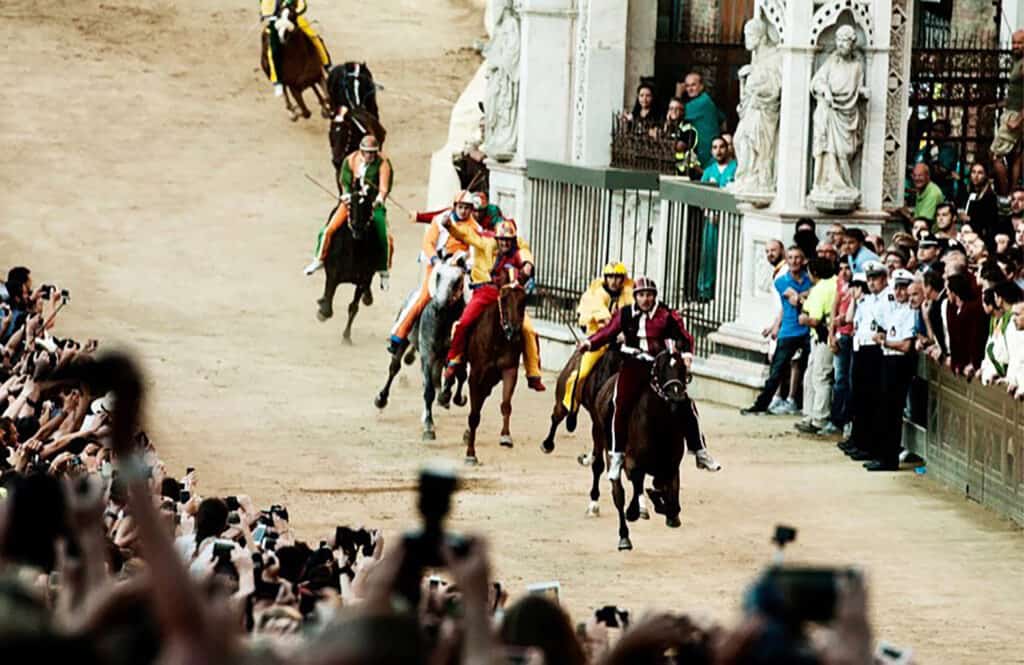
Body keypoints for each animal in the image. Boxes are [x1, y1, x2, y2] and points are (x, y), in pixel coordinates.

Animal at [315, 185, 380, 342]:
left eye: (369, 205)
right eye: (351, 205)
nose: (357, 227)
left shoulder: (363, 279)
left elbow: (353, 307)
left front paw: (346, 336)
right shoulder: (333, 274)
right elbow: (328, 307)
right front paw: (321, 313)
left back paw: (368, 297)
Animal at [374, 254, 468, 440]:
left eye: (457, 280)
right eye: (438, 275)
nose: (439, 306)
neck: (445, 322)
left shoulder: (455, 353)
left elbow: (459, 376)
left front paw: (452, 397)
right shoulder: (427, 353)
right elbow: (429, 390)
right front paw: (429, 427)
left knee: (438, 376)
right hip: (404, 342)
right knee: (394, 368)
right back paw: (381, 399)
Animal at [438, 276, 528, 465]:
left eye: (524, 300)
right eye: (504, 298)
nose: (514, 332)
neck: (498, 338)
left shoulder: (509, 369)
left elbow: (506, 404)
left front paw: (506, 437)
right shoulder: (477, 375)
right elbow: (474, 415)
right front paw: (470, 454)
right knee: (456, 371)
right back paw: (447, 394)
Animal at [589, 348, 692, 549]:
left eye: (682, 368)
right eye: (660, 369)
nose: (676, 396)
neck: (659, 425)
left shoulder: (672, 465)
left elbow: (669, 497)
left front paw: (663, 506)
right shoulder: (632, 461)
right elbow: (637, 481)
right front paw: (636, 510)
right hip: (600, 437)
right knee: (616, 491)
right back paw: (623, 534)